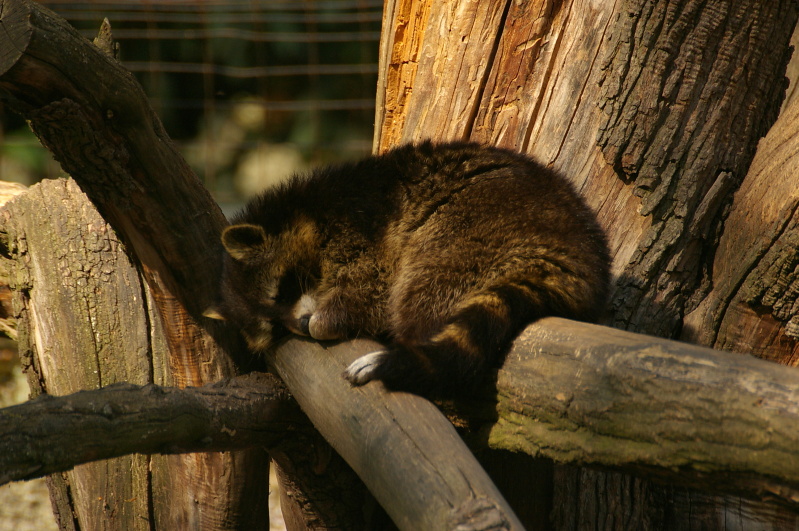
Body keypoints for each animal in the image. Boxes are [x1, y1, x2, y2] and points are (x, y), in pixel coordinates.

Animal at [209, 141, 608, 400]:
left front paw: (328, 320)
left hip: (471, 228)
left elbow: (370, 285)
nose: (303, 325)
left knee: (422, 289)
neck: (305, 210)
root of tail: (572, 258)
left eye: (283, 290)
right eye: (273, 327)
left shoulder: (362, 228)